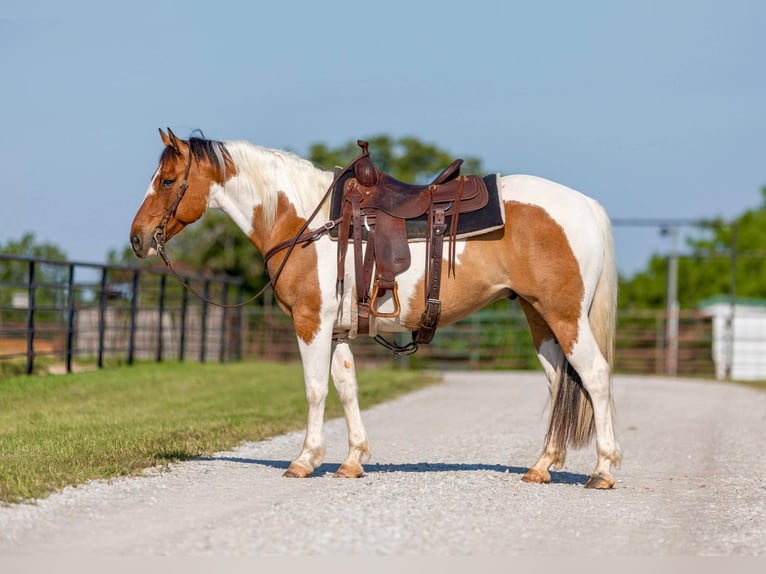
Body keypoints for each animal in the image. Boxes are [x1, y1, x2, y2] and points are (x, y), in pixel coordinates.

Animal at [130, 129, 624, 490]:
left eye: (168, 181)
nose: (138, 238)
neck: (305, 223)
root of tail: (586, 205)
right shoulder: (337, 330)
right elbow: (347, 389)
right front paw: (352, 461)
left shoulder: (311, 322)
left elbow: (315, 390)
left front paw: (304, 460)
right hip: (539, 318)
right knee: (559, 383)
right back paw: (541, 467)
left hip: (565, 317)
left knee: (596, 377)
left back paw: (602, 470)